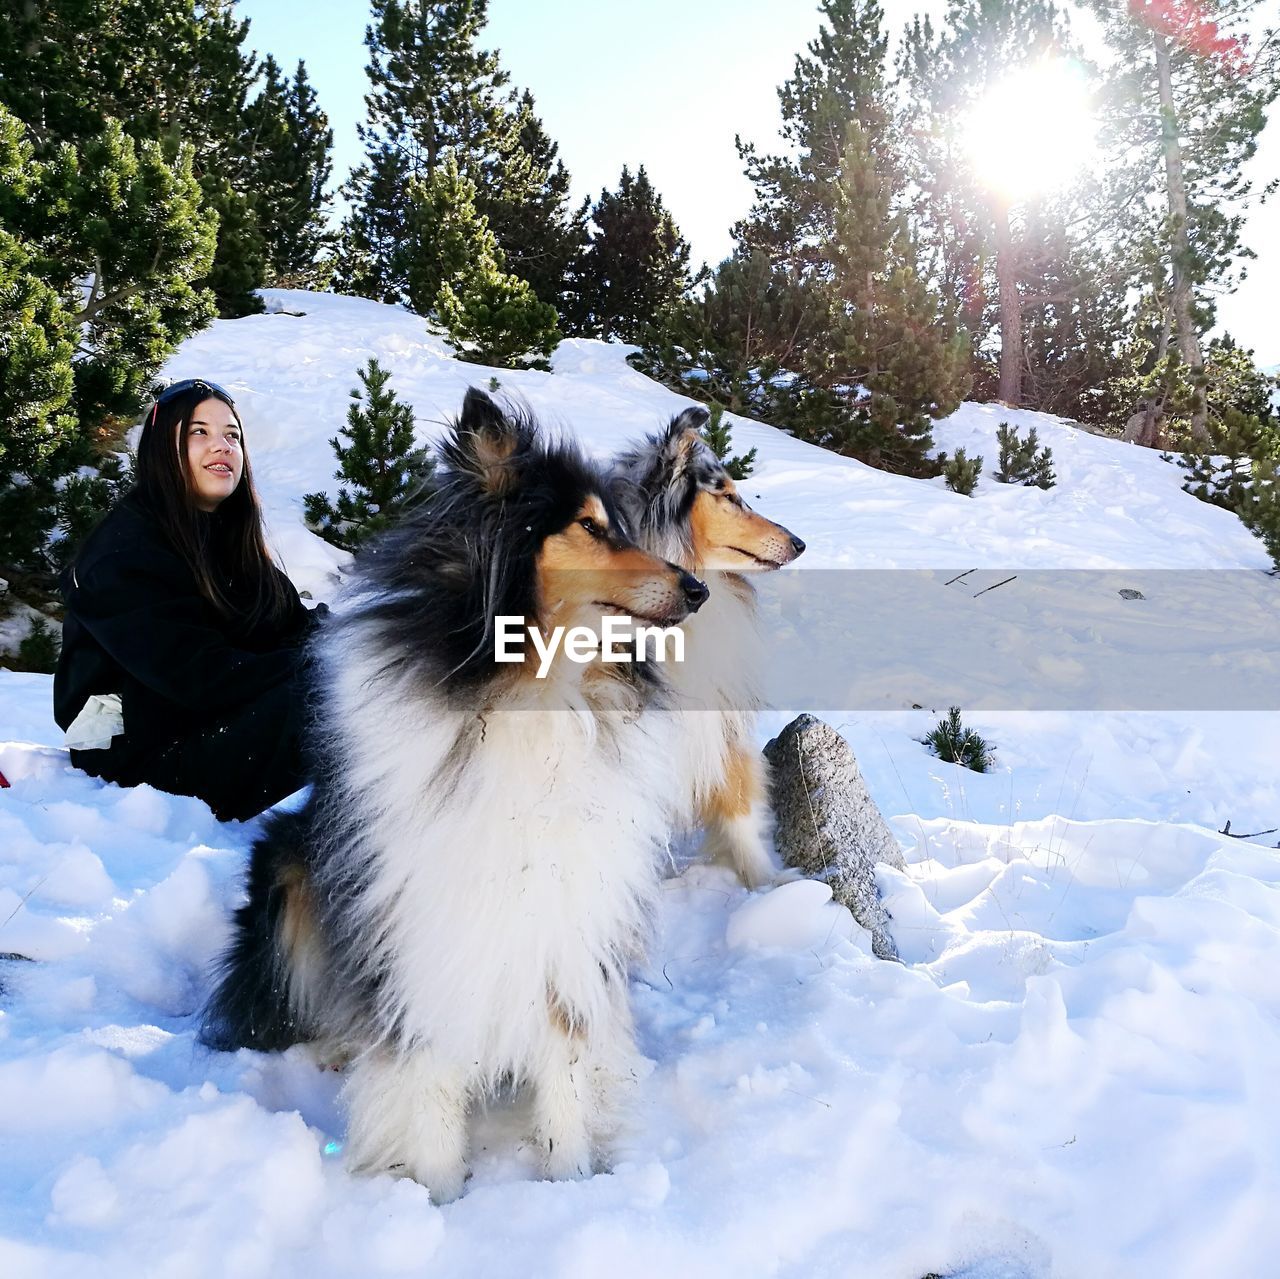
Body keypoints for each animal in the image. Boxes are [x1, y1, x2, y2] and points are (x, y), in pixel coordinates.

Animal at [204, 386, 716, 1198]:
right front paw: (438, 1195)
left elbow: (566, 1066)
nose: (697, 589)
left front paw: (570, 1182)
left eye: (624, 525)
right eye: (588, 527)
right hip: (288, 867)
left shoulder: (567, 916)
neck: (534, 697)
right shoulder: (426, 921)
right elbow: (430, 1073)